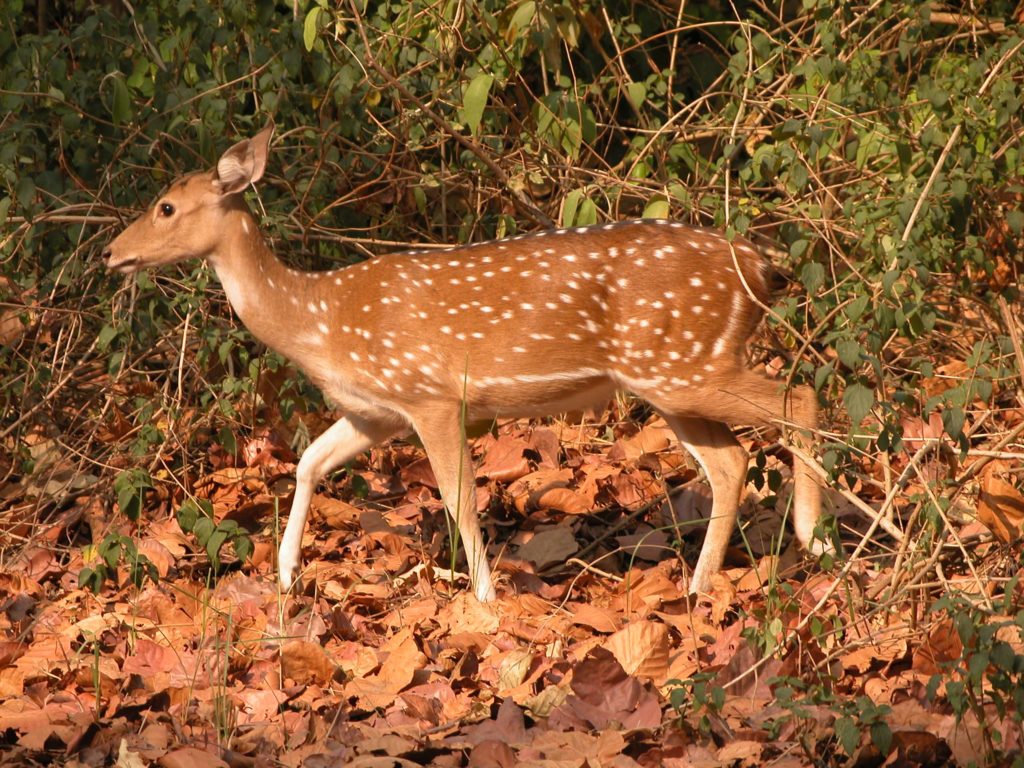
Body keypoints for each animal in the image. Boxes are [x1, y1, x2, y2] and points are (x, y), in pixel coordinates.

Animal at [101, 121, 823, 602]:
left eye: (166, 207)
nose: (111, 253)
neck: (318, 320)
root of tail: (762, 270)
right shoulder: (375, 413)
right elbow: (307, 463)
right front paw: (284, 574)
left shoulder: (430, 393)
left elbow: (458, 499)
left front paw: (484, 599)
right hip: (671, 376)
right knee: (730, 461)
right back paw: (701, 586)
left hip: (682, 362)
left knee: (800, 398)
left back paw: (815, 537)